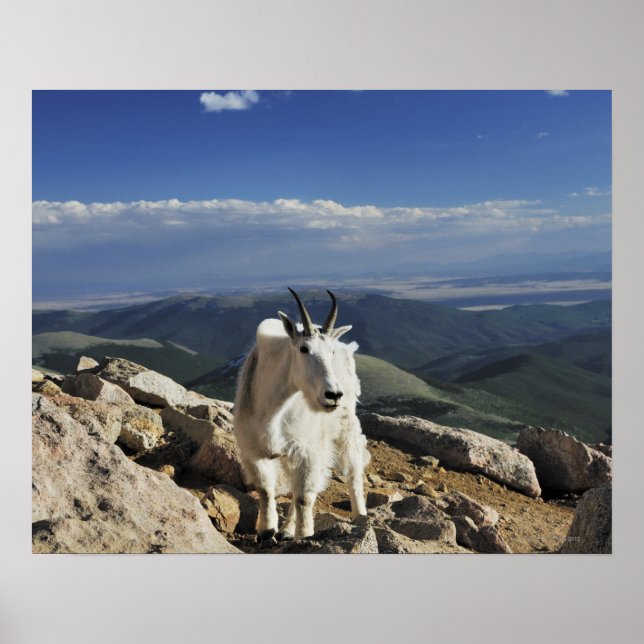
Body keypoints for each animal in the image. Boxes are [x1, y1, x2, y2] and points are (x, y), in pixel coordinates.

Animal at [233, 288, 369, 540]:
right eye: (304, 349)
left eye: (330, 352)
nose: (333, 395)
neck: (273, 409)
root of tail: (347, 345)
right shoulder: (253, 450)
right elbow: (265, 490)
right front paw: (267, 530)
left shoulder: (307, 450)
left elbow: (304, 497)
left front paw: (304, 536)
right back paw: (286, 531)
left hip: (344, 427)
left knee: (353, 471)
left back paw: (360, 515)